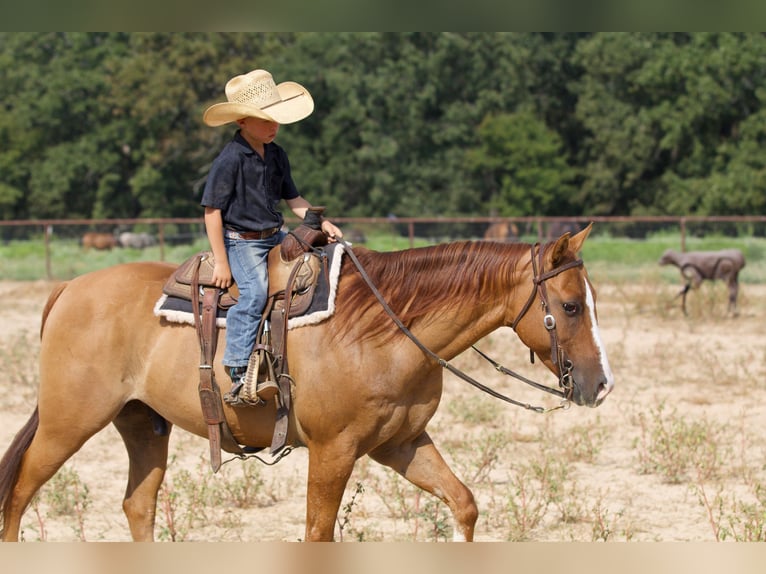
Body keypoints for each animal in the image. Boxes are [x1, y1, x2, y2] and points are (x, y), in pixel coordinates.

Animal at [0, 225, 612, 544]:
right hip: (68, 422)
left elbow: (463, 504)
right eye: (570, 306)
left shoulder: (400, 444)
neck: (383, 327)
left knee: (138, 506)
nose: (600, 385)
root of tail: (71, 288)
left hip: (143, 424)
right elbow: (318, 534)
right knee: (20, 492)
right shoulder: (333, 451)